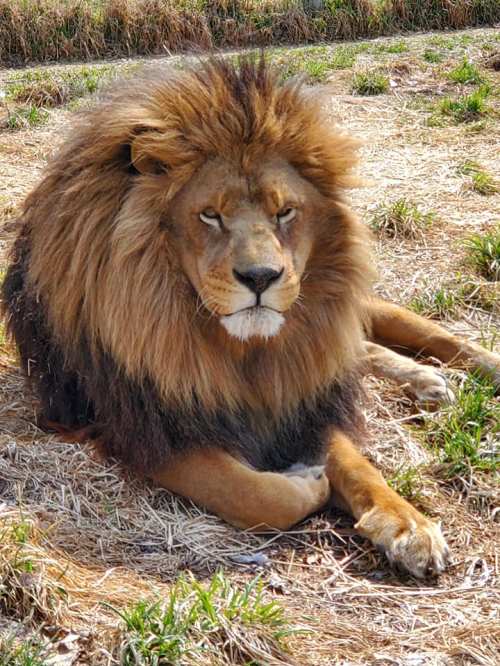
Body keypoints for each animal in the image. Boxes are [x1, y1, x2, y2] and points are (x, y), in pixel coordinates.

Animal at [2, 58, 499, 578]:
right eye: (210, 215)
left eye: (285, 212)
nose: (261, 276)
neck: (239, 353)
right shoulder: (134, 424)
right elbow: (251, 493)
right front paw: (310, 482)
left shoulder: (298, 394)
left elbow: (358, 465)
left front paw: (408, 523)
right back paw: (425, 379)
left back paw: (471, 367)